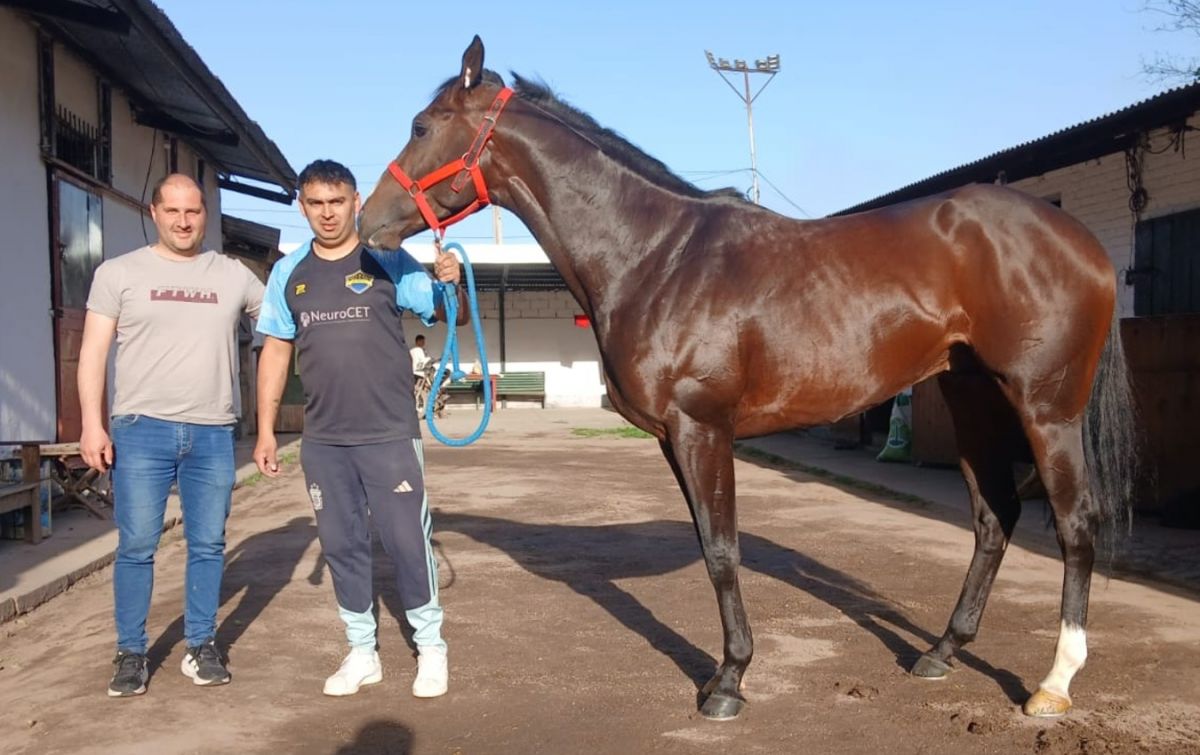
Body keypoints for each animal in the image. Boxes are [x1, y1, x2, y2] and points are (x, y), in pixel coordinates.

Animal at [358, 36, 1137, 721]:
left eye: (422, 125)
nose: (368, 224)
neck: (657, 255)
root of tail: (1082, 240)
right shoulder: (674, 437)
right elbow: (710, 545)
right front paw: (726, 671)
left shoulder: (703, 427)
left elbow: (723, 550)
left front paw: (728, 682)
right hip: (971, 395)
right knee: (993, 518)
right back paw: (941, 651)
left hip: (1045, 409)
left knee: (1075, 524)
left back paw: (1053, 684)